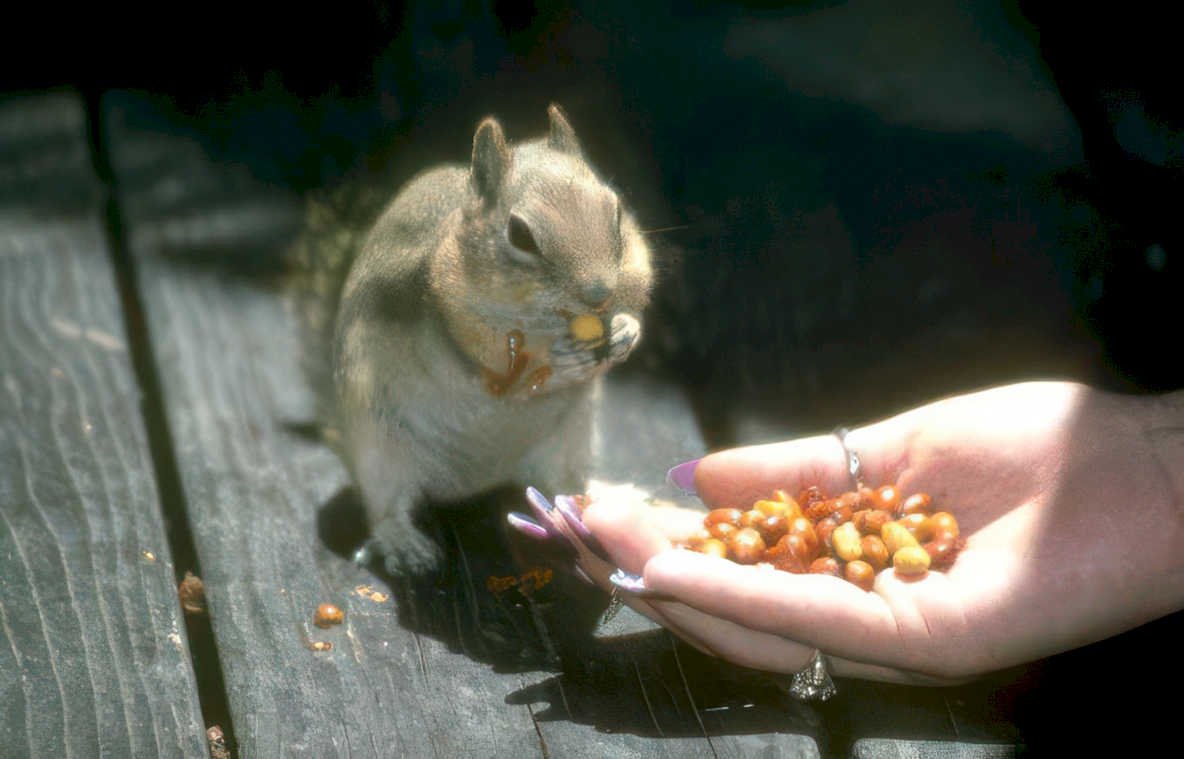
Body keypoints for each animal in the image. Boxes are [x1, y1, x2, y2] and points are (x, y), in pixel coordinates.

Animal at [290, 105, 653, 573]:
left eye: (616, 211)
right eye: (520, 234)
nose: (599, 294)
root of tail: (474, 482)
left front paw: (627, 328)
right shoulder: (452, 316)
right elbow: (501, 368)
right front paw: (557, 361)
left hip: (571, 440)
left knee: (560, 485)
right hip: (379, 450)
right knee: (388, 504)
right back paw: (403, 542)